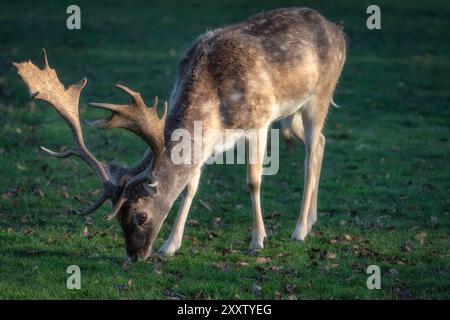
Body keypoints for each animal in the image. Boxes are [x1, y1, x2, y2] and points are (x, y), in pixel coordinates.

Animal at [14, 7, 344, 262]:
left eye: (141, 216)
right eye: (118, 217)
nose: (135, 255)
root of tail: (337, 29)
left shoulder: (259, 121)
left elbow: (253, 181)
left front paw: (257, 241)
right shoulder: (205, 144)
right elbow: (189, 187)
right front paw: (170, 245)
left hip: (321, 94)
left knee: (311, 152)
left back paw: (299, 230)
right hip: (294, 112)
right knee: (321, 143)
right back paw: (310, 221)